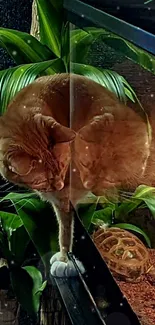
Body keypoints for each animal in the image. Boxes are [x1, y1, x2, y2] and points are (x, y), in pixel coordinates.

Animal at [0, 73, 153, 276]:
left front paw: (66, 261)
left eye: (64, 165)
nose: (59, 185)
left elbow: (67, 231)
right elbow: (64, 228)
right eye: (43, 179)